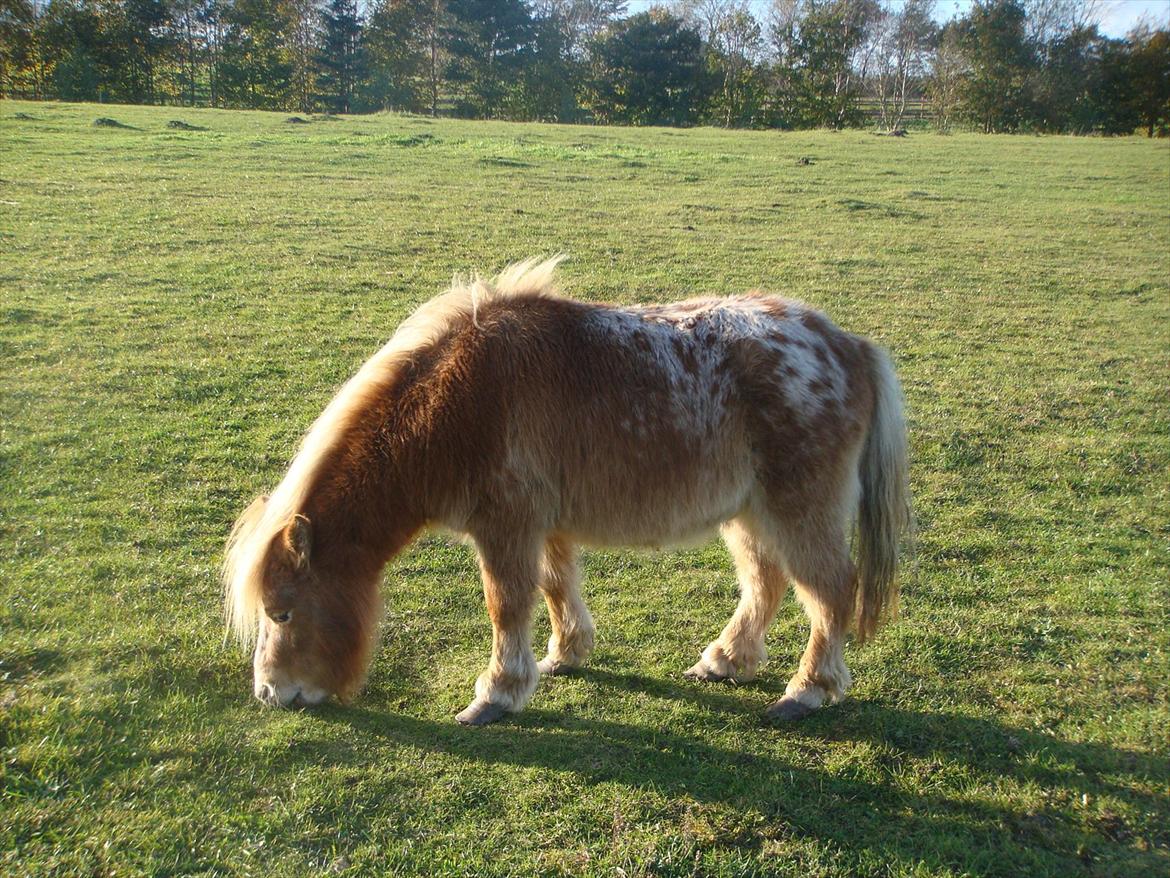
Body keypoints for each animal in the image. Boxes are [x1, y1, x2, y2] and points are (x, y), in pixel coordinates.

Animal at [221, 259, 912, 730]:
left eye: (282, 613)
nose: (269, 694)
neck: (457, 402)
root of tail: (849, 346)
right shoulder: (544, 525)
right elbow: (555, 586)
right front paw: (564, 655)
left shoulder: (505, 528)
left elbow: (506, 605)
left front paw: (496, 694)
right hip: (748, 511)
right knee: (765, 582)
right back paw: (726, 659)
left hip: (798, 510)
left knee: (829, 591)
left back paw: (807, 690)